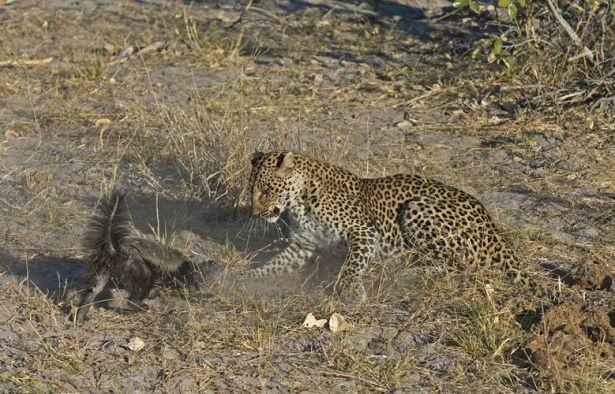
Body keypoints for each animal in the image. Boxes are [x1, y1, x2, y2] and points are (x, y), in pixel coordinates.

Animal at [243, 149, 528, 300]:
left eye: (266, 190)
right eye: (251, 190)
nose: (255, 213)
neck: (298, 202)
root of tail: (493, 228)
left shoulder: (363, 231)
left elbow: (352, 264)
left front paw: (351, 290)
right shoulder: (303, 245)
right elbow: (274, 265)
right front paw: (245, 277)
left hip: (417, 207)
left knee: (460, 266)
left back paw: (405, 272)